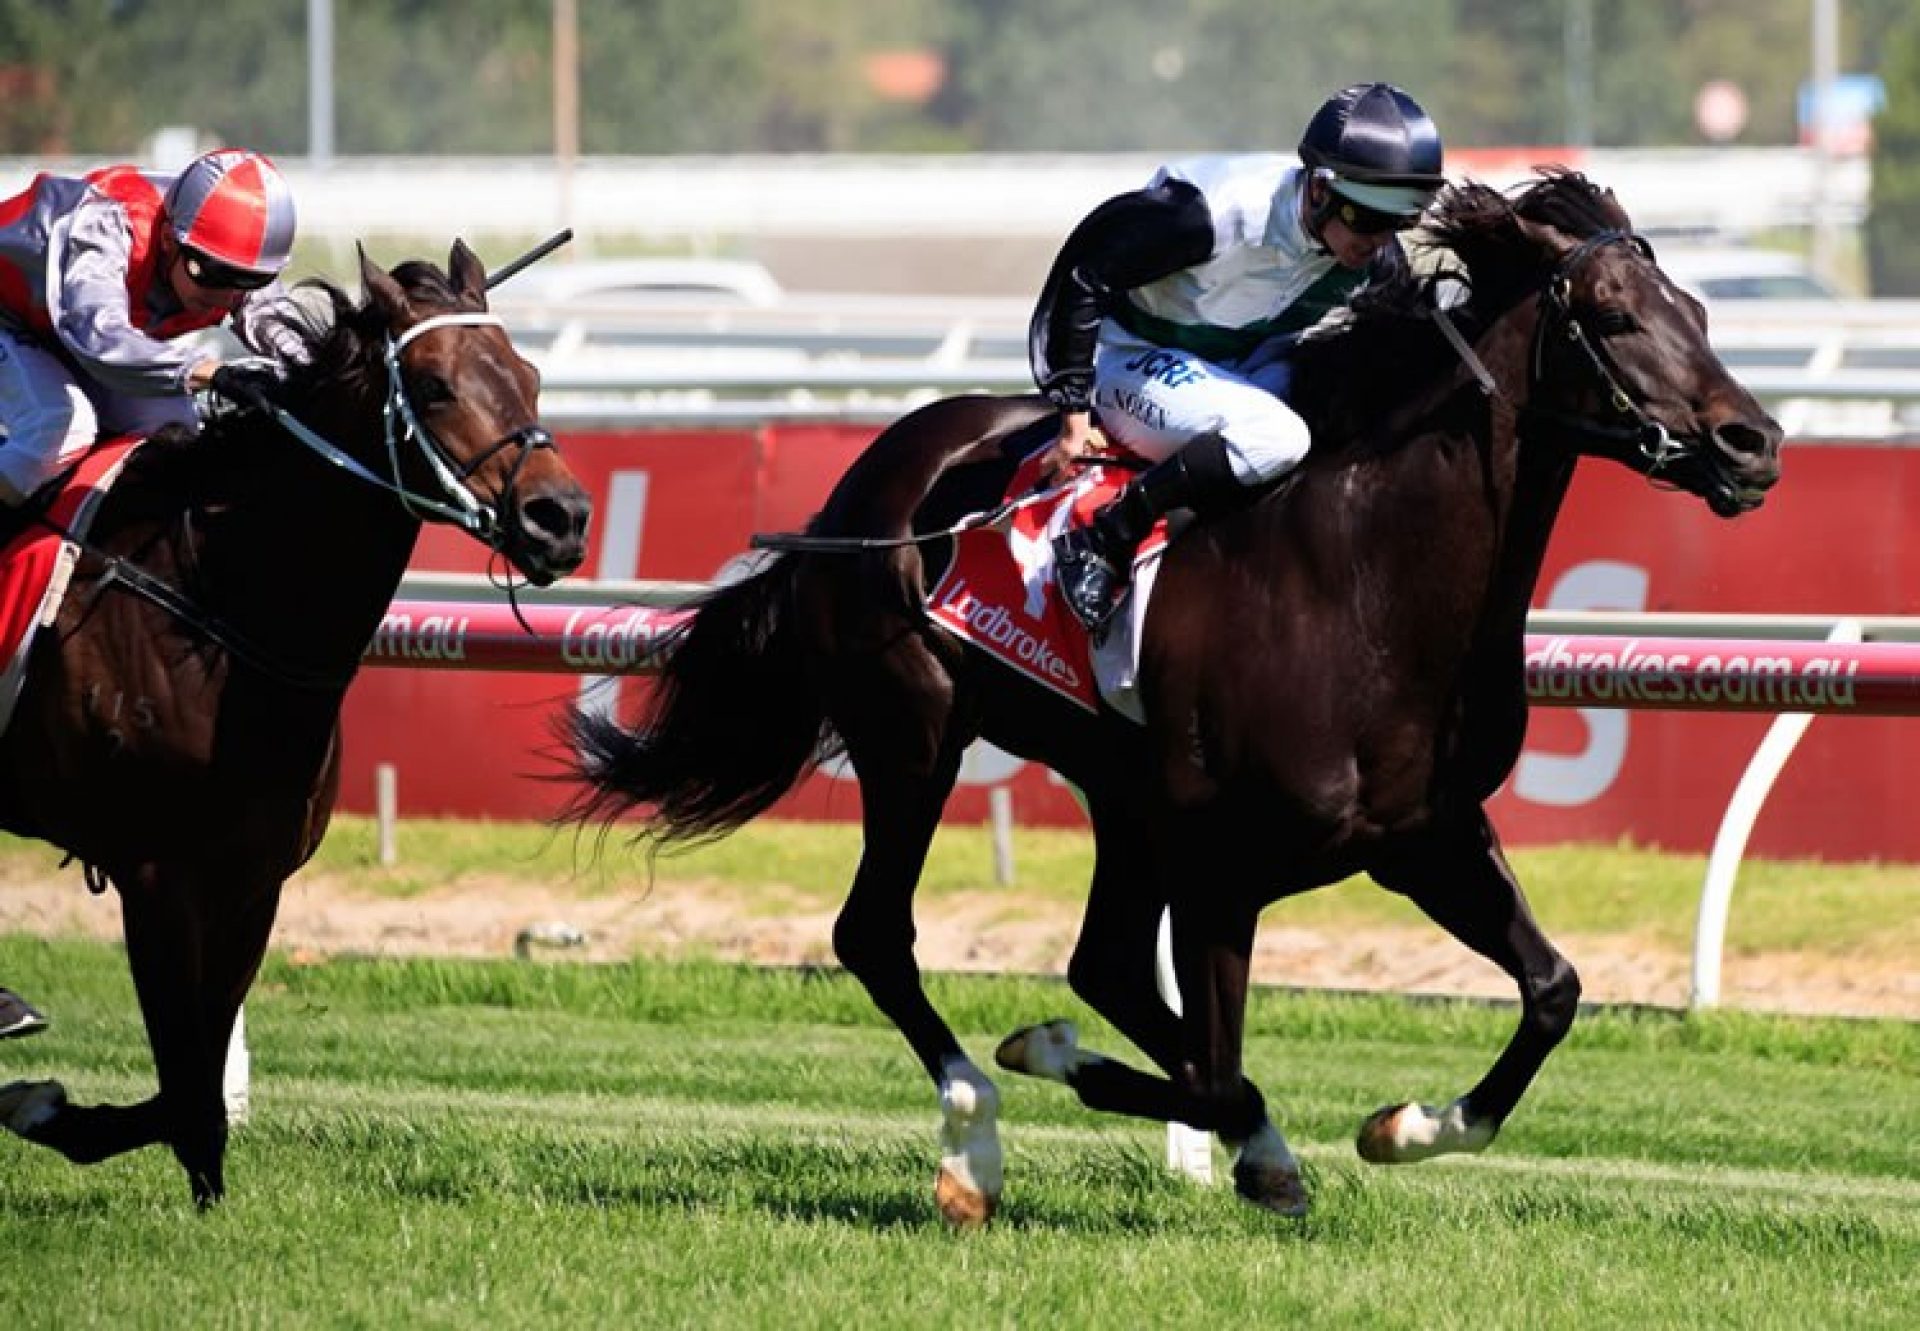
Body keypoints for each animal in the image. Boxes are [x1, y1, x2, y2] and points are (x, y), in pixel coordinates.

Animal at [0, 241, 587, 1206]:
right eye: (433, 385)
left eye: (529, 376)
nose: (562, 516)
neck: (214, 600)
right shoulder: (153, 872)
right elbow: (185, 1085)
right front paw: (42, 1102)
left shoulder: (251, 878)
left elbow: (193, 1086)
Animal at [564, 170, 1781, 1221]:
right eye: (1614, 317)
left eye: (1695, 308)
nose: (1754, 441)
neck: (1364, 580)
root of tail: (869, 481)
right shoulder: (1219, 868)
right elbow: (1210, 1070)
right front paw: (1069, 1060)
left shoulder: (1423, 833)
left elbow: (1552, 989)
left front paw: (1403, 1124)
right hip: (915, 733)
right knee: (879, 932)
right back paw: (974, 1139)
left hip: (1120, 793)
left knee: (1099, 960)